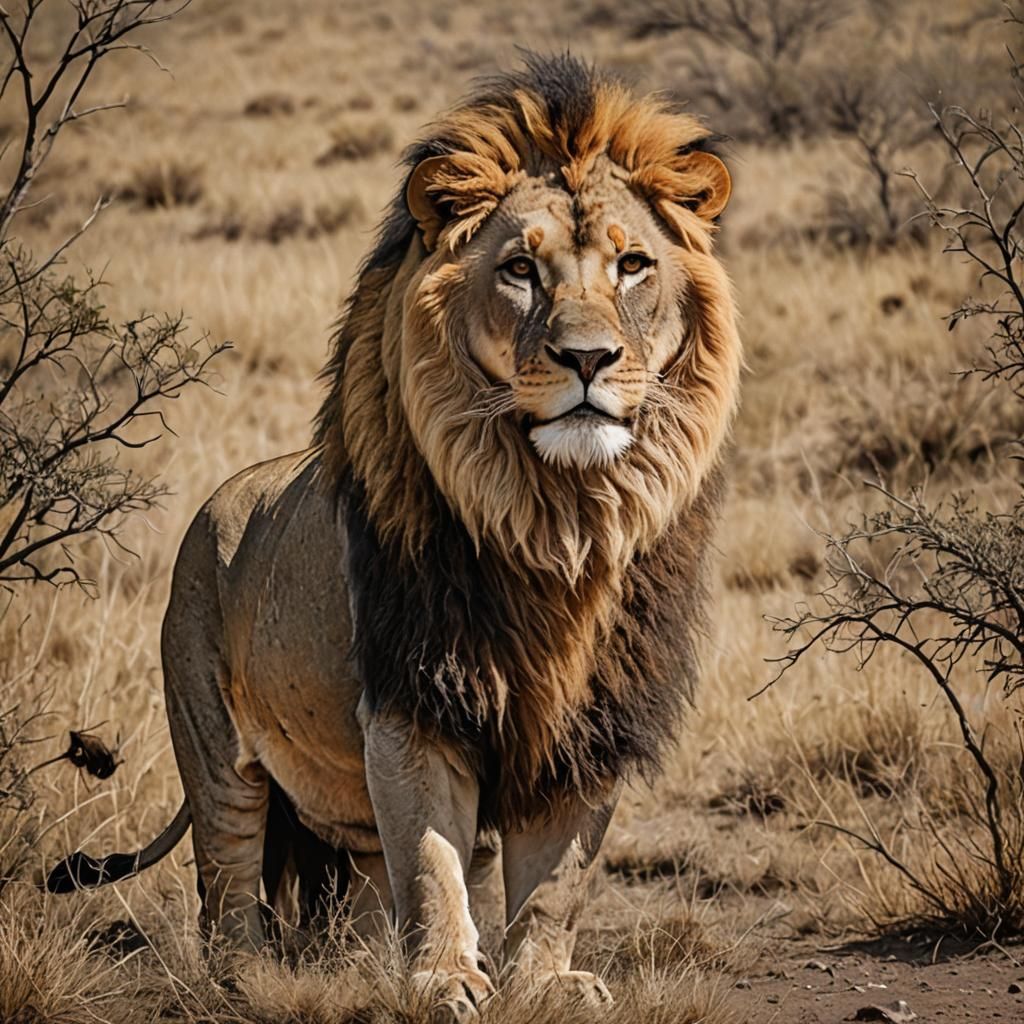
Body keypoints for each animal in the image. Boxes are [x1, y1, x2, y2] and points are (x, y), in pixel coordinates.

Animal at [48, 54, 740, 1020]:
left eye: (633, 264)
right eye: (521, 269)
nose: (588, 359)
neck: (560, 520)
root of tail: (215, 501)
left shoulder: (592, 721)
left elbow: (553, 881)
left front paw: (544, 982)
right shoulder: (416, 697)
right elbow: (432, 858)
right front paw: (446, 979)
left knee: (365, 878)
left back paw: (359, 964)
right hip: (213, 747)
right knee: (226, 885)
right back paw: (250, 977)